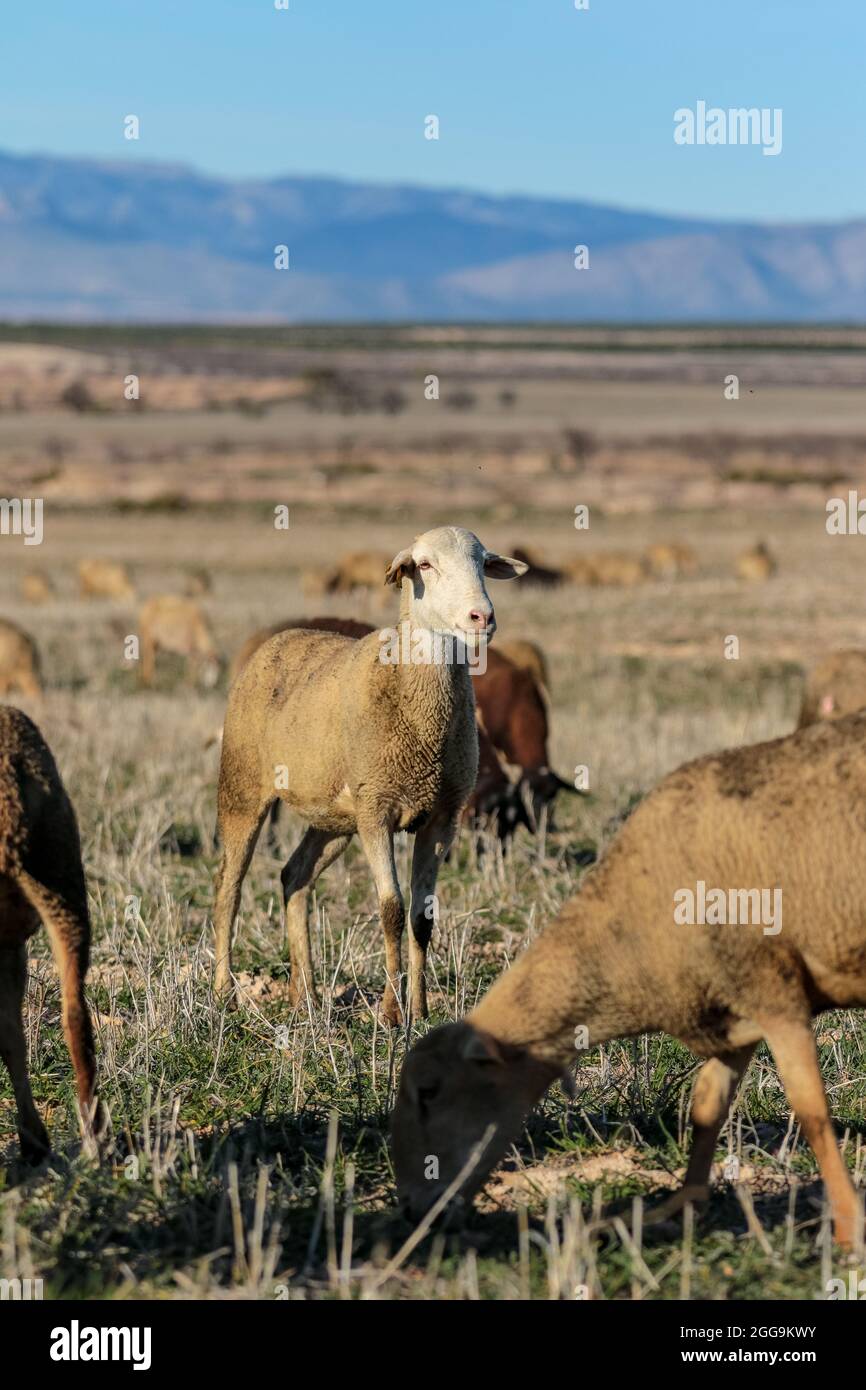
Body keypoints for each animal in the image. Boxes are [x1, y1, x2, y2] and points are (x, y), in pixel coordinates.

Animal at [212, 527, 527, 1023]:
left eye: (482, 562)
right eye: (424, 565)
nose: (482, 617)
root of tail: (278, 639)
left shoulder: (441, 816)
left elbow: (422, 918)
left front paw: (420, 1009)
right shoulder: (378, 811)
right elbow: (392, 910)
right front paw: (392, 1012)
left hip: (337, 816)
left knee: (294, 877)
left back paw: (306, 999)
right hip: (243, 786)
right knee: (230, 885)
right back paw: (223, 991)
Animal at [393, 710, 866, 1247]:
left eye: (430, 1091)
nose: (410, 1210)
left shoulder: (773, 993)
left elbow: (812, 1114)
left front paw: (849, 1231)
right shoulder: (728, 1007)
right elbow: (706, 1107)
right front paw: (680, 1207)